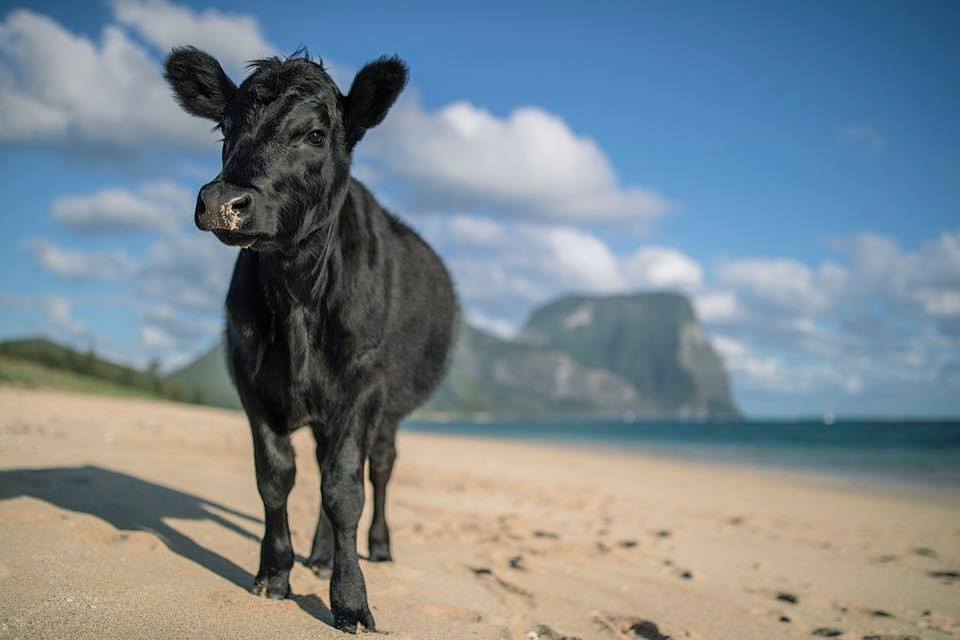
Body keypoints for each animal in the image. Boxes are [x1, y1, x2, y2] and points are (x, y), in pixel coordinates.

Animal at [164, 47, 458, 632]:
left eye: (316, 135)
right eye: (225, 127)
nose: (223, 200)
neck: (298, 293)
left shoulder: (364, 386)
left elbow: (345, 489)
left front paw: (350, 599)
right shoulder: (250, 376)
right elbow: (277, 476)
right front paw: (275, 574)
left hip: (388, 412)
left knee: (380, 468)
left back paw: (378, 547)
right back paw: (319, 556)